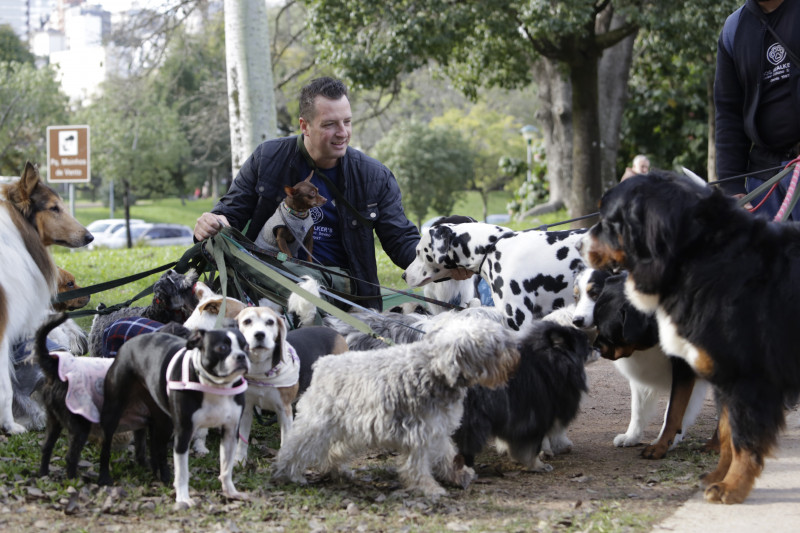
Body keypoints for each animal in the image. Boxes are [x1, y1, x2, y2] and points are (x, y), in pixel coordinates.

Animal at [270, 314, 520, 496]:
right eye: (494, 344)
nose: (516, 353)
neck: (434, 371)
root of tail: (323, 364)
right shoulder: (420, 434)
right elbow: (418, 466)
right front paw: (428, 488)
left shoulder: (436, 430)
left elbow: (447, 455)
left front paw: (459, 475)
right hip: (316, 425)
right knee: (293, 448)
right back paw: (288, 474)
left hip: (348, 429)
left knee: (334, 450)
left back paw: (338, 471)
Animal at [572, 270, 708, 458]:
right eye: (576, 297)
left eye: (595, 294)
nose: (595, 347)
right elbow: (638, 409)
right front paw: (632, 436)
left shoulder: (684, 371)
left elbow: (673, 412)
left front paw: (662, 444)